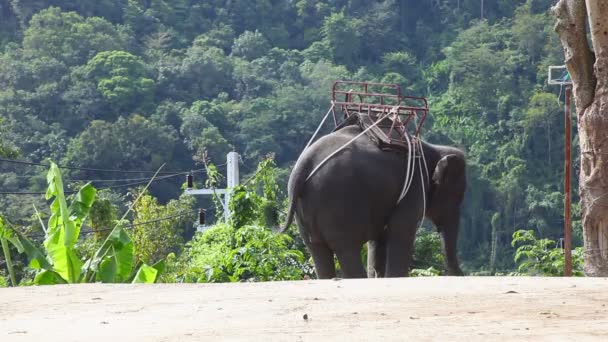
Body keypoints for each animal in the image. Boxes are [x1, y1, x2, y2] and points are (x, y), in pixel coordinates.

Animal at [282, 119, 466, 280]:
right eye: (457, 196)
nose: (459, 274)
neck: (431, 148)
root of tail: (304, 164)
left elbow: (380, 238)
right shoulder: (413, 185)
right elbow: (402, 228)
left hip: (306, 208)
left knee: (317, 249)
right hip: (337, 204)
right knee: (347, 248)